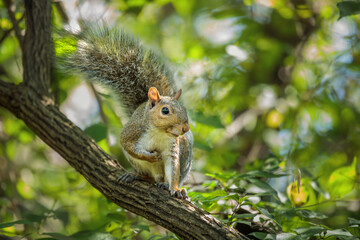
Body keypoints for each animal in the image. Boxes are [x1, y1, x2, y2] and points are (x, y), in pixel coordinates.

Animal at [60, 23, 193, 199]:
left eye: (184, 109)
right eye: (165, 111)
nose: (185, 128)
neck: (159, 132)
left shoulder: (172, 148)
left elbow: (173, 169)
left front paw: (176, 189)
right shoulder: (131, 133)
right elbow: (129, 147)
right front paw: (151, 156)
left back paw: (168, 185)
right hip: (138, 164)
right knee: (149, 177)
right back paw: (137, 176)